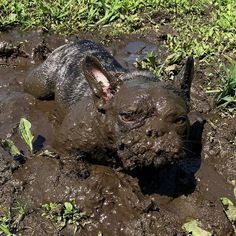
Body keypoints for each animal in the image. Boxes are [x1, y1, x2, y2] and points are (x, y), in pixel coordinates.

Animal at [24, 39, 194, 171]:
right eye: (127, 116)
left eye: (180, 120)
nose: (156, 132)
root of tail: (73, 42)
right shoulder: (65, 146)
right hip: (42, 82)